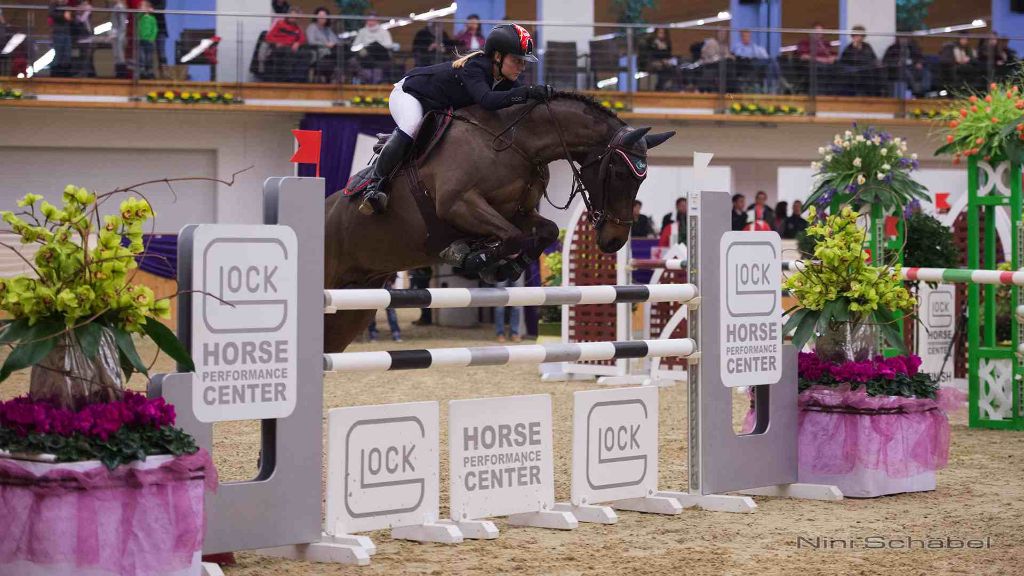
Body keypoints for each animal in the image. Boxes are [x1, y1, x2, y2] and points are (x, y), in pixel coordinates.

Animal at [325, 91, 671, 350]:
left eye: (642, 178)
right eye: (620, 172)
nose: (614, 240)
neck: (517, 142)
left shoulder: (518, 213)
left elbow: (544, 232)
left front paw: (504, 265)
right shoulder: (459, 204)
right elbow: (512, 236)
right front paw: (474, 257)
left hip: (355, 306)